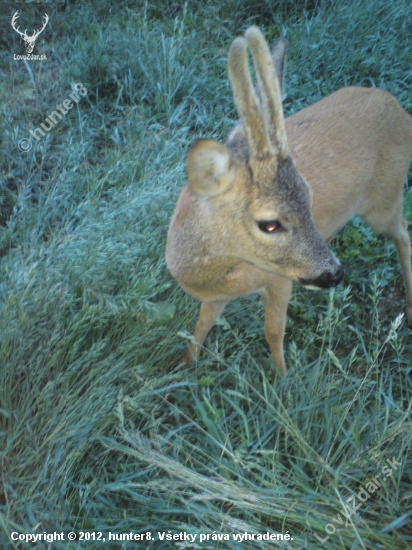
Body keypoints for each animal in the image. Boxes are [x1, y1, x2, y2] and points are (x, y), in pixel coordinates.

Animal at [165, 27, 412, 380]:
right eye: (269, 224)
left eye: (308, 196)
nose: (334, 275)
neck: (206, 277)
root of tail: (398, 107)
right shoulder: (219, 295)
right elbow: (202, 324)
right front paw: (183, 365)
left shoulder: (279, 278)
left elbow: (273, 331)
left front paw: (282, 380)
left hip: (385, 198)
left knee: (403, 232)